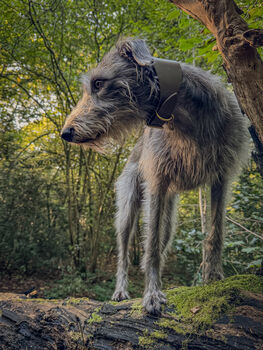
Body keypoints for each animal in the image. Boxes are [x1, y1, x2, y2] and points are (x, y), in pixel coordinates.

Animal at [61, 37, 250, 314]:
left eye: (98, 83)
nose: (65, 133)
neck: (185, 117)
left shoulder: (221, 178)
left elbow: (215, 233)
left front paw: (214, 279)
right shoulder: (157, 182)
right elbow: (149, 246)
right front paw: (151, 294)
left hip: (169, 216)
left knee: (162, 238)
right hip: (128, 205)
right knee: (124, 251)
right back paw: (120, 290)